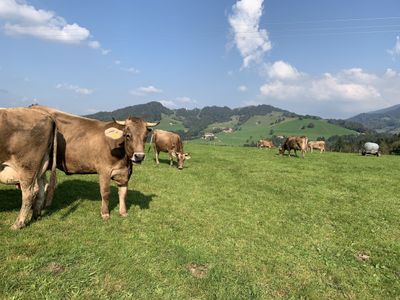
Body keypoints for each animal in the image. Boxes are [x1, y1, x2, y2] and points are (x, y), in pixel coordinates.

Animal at [30, 105, 159, 218]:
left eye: (145, 136)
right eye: (127, 135)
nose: (139, 156)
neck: (124, 160)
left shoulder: (124, 173)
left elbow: (123, 193)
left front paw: (123, 212)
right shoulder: (104, 171)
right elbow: (105, 192)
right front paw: (105, 213)